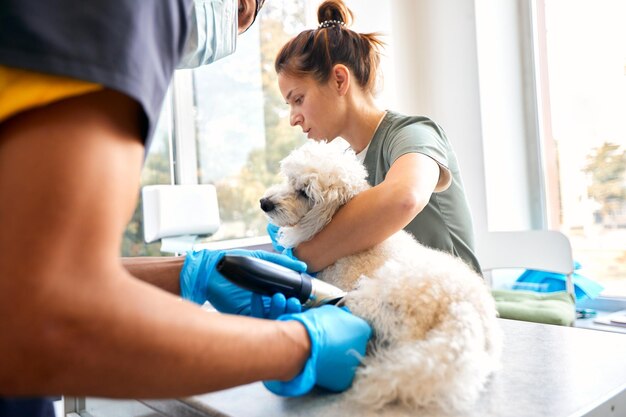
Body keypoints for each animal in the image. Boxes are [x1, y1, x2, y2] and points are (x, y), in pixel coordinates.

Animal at [260, 139, 502, 410]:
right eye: (289, 179)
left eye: (305, 193)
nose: (264, 203)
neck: (333, 218)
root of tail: (466, 310)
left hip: (384, 293)